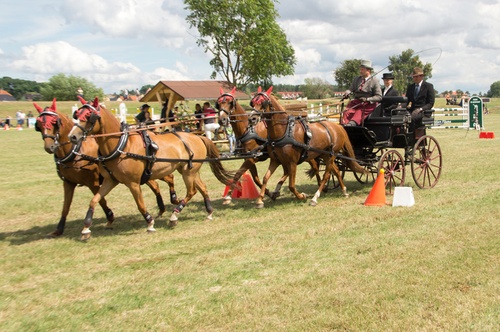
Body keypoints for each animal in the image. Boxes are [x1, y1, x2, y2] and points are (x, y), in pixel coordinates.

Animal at [33, 98, 179, 239]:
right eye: (38, 125)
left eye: (54, 123)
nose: (49, 146)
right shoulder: (69, 183)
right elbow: (68, 207)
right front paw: (60, 229)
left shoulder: (93, 182)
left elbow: (102, 201)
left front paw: (110, 217)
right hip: (148, 174)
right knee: (157, 185)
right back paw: (163, 207)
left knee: (169, 178)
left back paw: (173, 200)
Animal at [67, 97, 236, 240]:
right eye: (77, 114)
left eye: (89, 116)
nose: (72, 137)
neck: (121, 144)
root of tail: (198, 136)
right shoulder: (111, 180)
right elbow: (94, 200)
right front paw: (86, 228)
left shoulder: (133, 183)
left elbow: (140, 205)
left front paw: (150, 223)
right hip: (189, 170)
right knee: (202, 188)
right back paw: (209, 212)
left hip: (188, 173)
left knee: (192, 191)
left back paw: (174, 216)